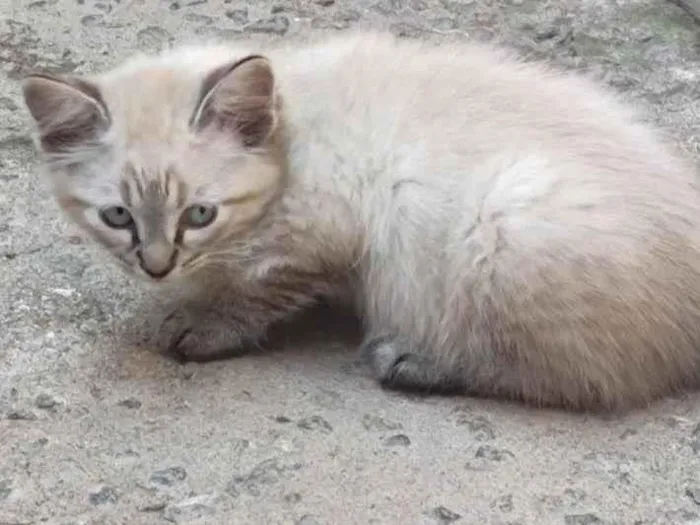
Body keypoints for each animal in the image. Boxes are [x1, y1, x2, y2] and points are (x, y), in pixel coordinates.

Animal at [19, 30, 700, 412]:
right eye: (117, 216)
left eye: (200, 213)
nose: (158, 267)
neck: (291, 132)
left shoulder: (328, 235)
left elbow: (259, 288)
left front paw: (202, 322)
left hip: (505, 221)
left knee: (575, 377)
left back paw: (416, 361)